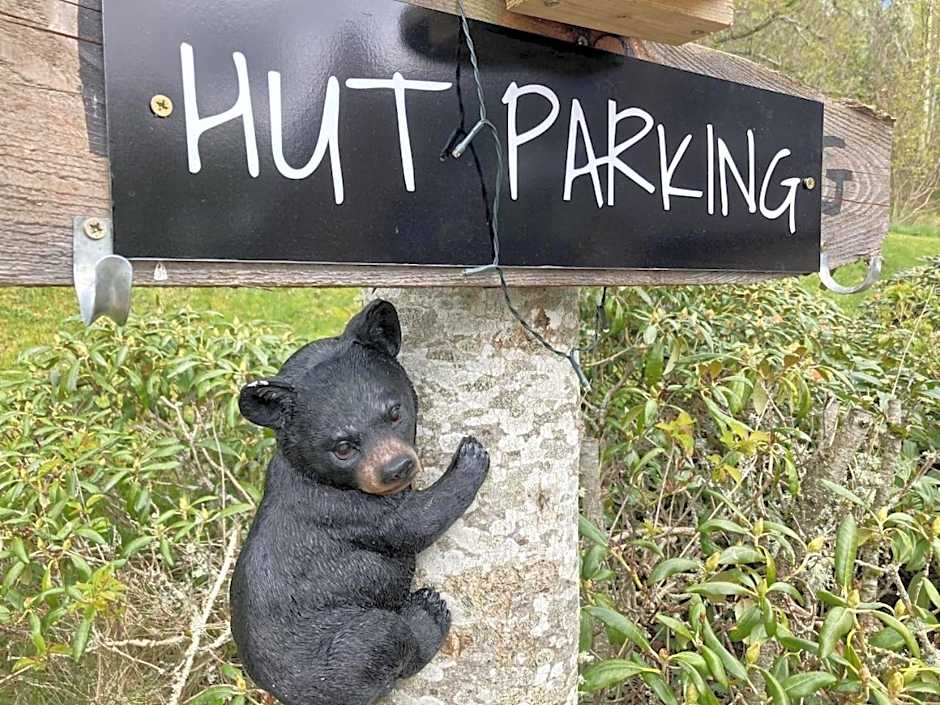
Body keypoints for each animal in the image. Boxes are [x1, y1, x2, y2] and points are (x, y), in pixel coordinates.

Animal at [230, 299, 490, 705]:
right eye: (342, 447)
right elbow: (414, 522)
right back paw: (427, 612)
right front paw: (470, 458)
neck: (318, 474)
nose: (397, 468)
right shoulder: (344, 510)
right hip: (352, 644)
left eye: (395, 412)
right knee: (391, 643)